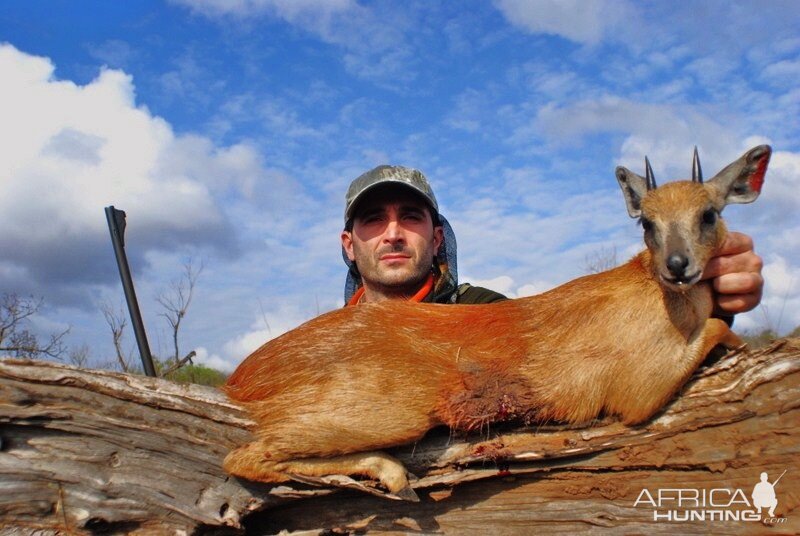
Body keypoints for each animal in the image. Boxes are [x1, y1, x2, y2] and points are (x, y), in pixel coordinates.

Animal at [222, 144, 772, 500]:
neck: (662, 299)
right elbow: (720, 330)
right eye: (647, 222)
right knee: (244, 457)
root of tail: (242, 378)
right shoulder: (636, 395)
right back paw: (390, 476)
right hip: (389, 414)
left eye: (709, 213)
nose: (678, 266)